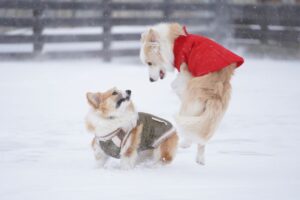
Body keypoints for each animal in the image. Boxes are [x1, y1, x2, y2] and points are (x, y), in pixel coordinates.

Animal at [140, 22, 244, 165]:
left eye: (150, 63)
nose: (151, 80)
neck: (175, 40)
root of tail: (216, 91)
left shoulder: (183, 71)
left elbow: (176, 83)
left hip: (188, 106)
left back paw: (183, 143)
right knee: (201, 135)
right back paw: (200, 159)